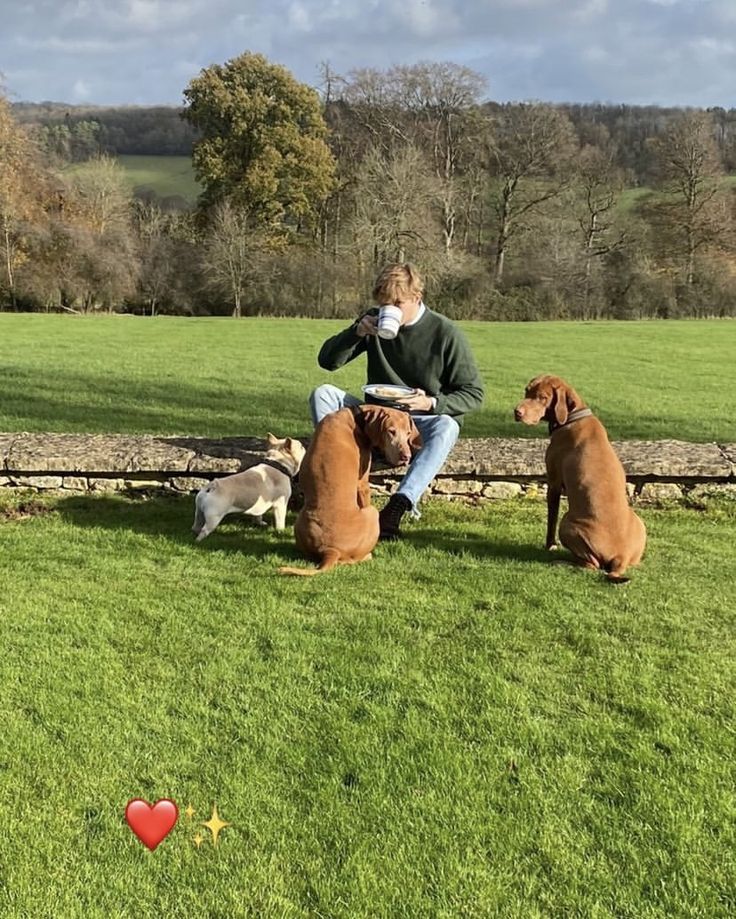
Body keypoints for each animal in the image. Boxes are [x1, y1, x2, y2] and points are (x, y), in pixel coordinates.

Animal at [280, 404, 422, 576]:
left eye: (408, 433)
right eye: (391, 431)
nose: (406, 457)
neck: (356, 417)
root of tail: (330, 550)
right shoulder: (363, 483)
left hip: (300, 522)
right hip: (372, 513)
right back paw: (368, 555)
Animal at [516, 374, 648, 584]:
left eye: (543, 397)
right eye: (526, 391)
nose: (517, 412)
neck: (573, 416)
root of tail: (621, 557)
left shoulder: (553, 483)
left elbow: (551, 520)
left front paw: (549, 546)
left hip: (568, 524)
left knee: (591, 565)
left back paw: (562, 562)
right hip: (640, 525)